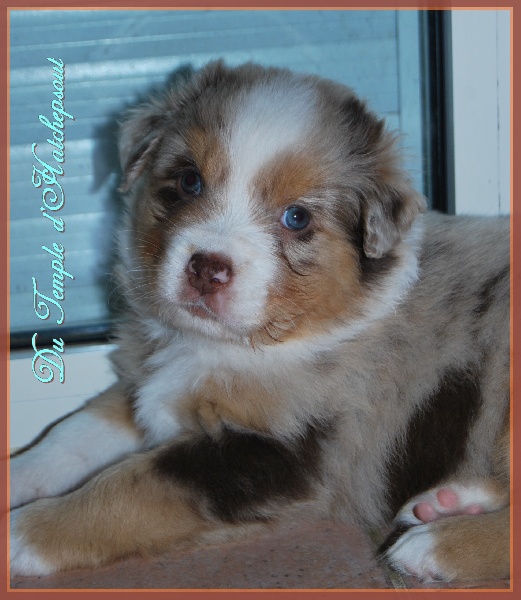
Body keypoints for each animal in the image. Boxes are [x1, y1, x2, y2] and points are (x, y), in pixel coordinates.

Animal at [10, 61, 510, 580]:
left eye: (297, 217)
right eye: (190, 181)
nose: (206, 270)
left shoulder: (282, 450)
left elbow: (133, 484)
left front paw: (25, 530)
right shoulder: (143, 380)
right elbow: (72, 430)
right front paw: (18, 473)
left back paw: (434, 545)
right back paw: (447, 502)